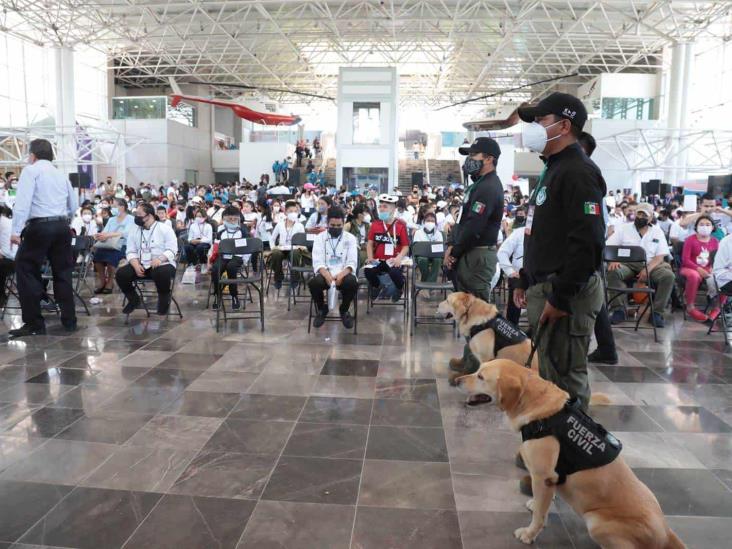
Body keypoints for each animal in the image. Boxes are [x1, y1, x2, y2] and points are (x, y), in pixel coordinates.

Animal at [454, 360, 684, 548]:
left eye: (481, 377)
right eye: (477, 370)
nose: (456, 381)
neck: (540, 412)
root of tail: (667, 532)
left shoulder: (542, 477)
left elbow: (540, 516)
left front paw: (529, 534)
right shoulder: (549, 479)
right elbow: (543, 504)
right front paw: (536, 505)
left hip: (596, 523)